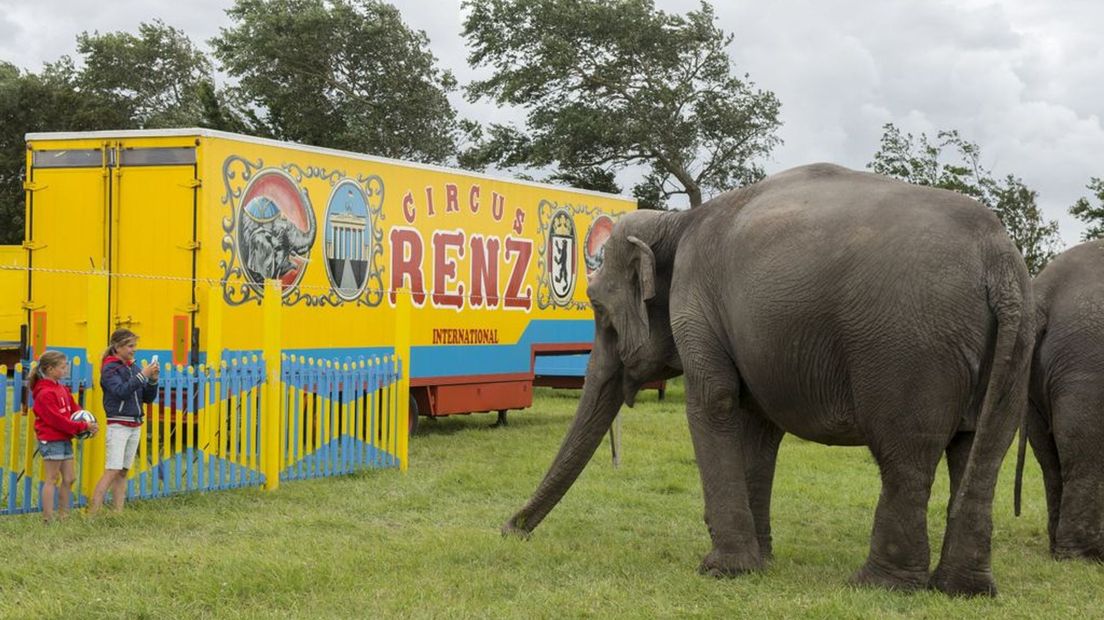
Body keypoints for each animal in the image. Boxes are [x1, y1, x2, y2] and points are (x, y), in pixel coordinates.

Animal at [503, 163, 1033, 595]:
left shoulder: (697, 303)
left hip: (907, 349)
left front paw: (722, 569)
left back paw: (877, 585)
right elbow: (756, 426)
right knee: (981, 451)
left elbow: (713, 403)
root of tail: (998, 259)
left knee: (906, 457)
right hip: (1013, 347)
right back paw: (963, 589)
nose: (510, 530)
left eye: (597, 308)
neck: (674, 222)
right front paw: (761, 562)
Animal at [1015, 239, 1104, 558]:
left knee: (1049, 458)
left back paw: (1057, 549)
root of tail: (1045, 296)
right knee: (1084, 454)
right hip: (1085, 364)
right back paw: (1084, 556)